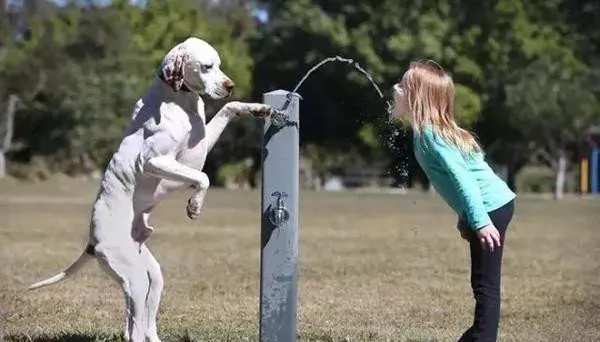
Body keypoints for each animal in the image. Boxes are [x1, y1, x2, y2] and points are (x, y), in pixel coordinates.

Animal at [26, 37, 274, 342]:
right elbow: (203, 177)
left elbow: (229, 110)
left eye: (219, 64)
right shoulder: (156, 161)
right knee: (134, 330)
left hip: (152, 278)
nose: (230, 85)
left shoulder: (199, 149)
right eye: (206, 66)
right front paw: (194, 205)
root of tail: (92, 242)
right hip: (134, 280)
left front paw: (257, 108)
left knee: (143, 324)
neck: (179, 100)